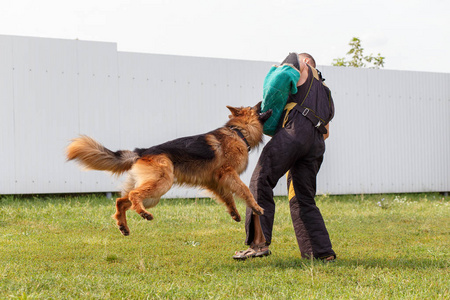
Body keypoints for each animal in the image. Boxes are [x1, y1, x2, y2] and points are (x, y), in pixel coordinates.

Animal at [66, 102, 270, 236]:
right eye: (254, 106)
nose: (262, 101)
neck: (238, 132)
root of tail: (142, 151)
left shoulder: (214, 181)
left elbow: (228, 197)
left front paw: (234, 213)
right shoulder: (227, 173)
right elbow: (244, 190)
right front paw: (256, 207)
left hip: (152, 194)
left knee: (121, 201)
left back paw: (123, 225)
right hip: (161, 184)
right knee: (133, 196)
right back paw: (143, 214)